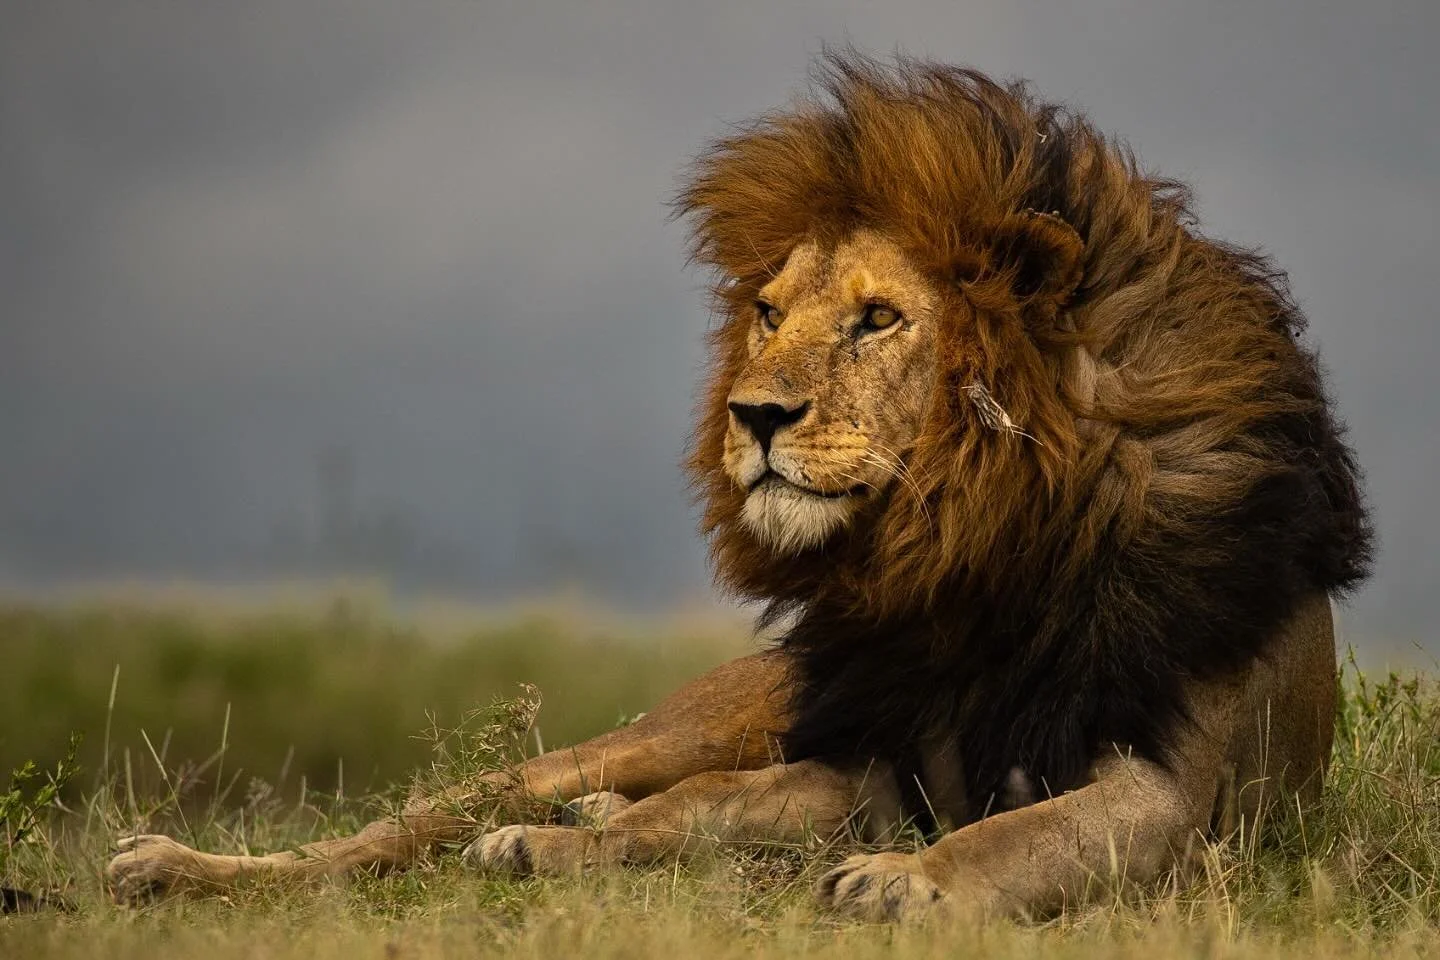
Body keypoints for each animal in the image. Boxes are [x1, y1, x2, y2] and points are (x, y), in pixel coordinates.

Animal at [106, 53, 1372, 922]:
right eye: (769, 312)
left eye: (878, 318)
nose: (753, 416)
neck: (982, 550)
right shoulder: (865, 768)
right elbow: (702, 808)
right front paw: (555, 850)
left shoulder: (1166, 795)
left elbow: (1005, 839)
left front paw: (904, 884)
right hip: (694, 717)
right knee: (440, 808)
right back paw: (178, 865)